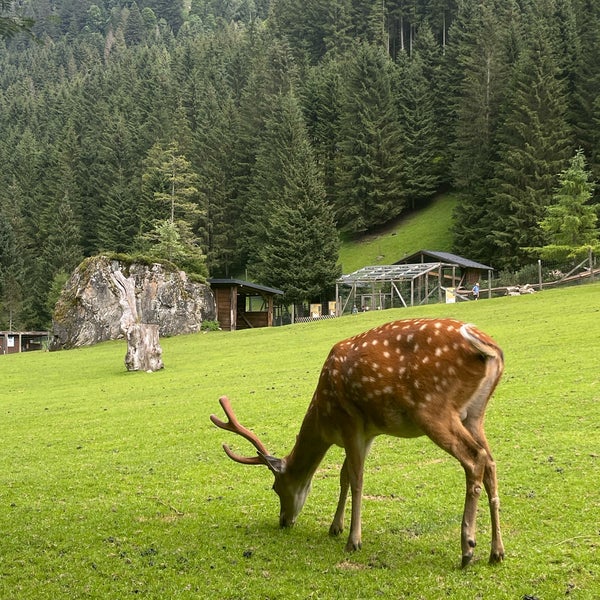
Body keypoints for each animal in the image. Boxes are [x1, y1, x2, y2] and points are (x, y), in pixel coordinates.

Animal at [211, 318, 506, 568]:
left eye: (275, 487)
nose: (284, 521)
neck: (324, 420)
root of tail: (488, 346)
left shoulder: (350, 421)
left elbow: (356, 478)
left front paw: (353, 541)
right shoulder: (368, 433)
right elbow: (343, 476)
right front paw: (335, 527)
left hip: (433, 408)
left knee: (474, 458)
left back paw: (467, 549)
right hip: (474, 414)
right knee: (490, 462)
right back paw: (496, 552)